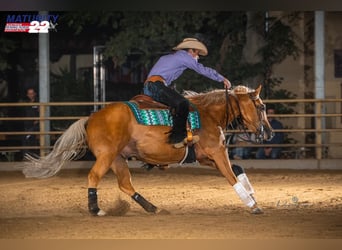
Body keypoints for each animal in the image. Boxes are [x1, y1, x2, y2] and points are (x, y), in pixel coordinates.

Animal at [22, 83, 272, 215]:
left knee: (125, 184)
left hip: (118, 158)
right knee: (94, 176)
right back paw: (95, 209)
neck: (208, 114)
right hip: (107, 156)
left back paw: (152, 207)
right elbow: (231, 177)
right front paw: (252, 204)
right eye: (260, 106)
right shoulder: (218, 153)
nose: (269, 133)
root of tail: (90, 118)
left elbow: (237, 169)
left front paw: (252, 194)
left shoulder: (205, 157)